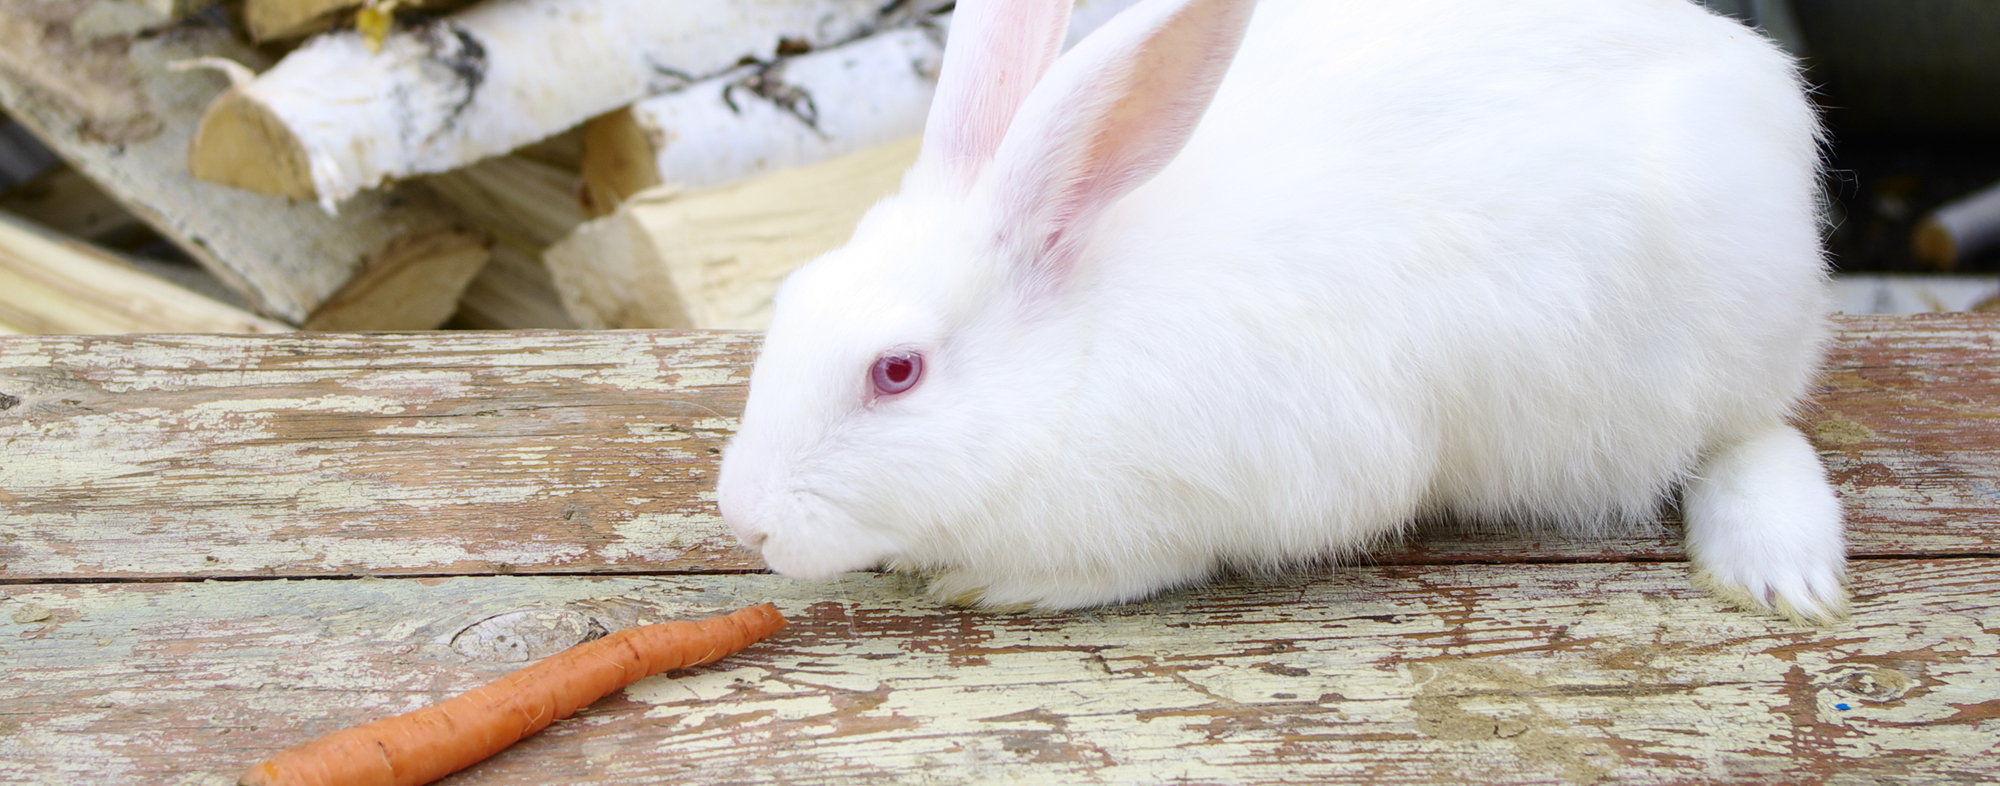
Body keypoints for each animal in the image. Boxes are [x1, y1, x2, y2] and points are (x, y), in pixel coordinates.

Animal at [716, 0, 1840, 620]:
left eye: (895, 371)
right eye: (791, 299)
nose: (746, 519)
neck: (1073, 351)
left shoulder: (1285, 477)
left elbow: (1164, 560)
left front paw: (1008, 587)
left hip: (1706, 355)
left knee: (1752, 435)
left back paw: (1780, 570)